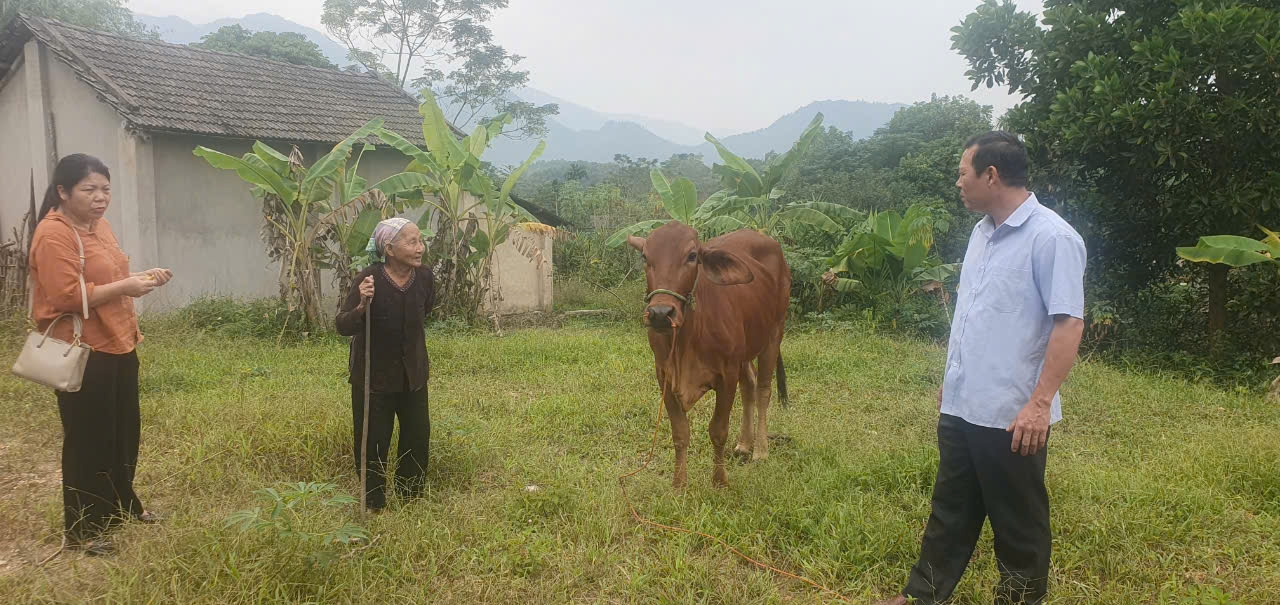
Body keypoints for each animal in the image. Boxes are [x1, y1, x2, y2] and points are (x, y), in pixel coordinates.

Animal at [627, 223, 788, 488]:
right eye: (645, 257)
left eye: (692, 256)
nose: (661, 313)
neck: (687, 339)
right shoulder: (664, 375)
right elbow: (680, 433)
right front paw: (679, 484)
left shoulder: (727, 375)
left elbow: (718, 430)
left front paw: (719, 482)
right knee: (749, 386)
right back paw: (744, 444)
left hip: (774, 334)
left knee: (763, 389)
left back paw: (760, 450)